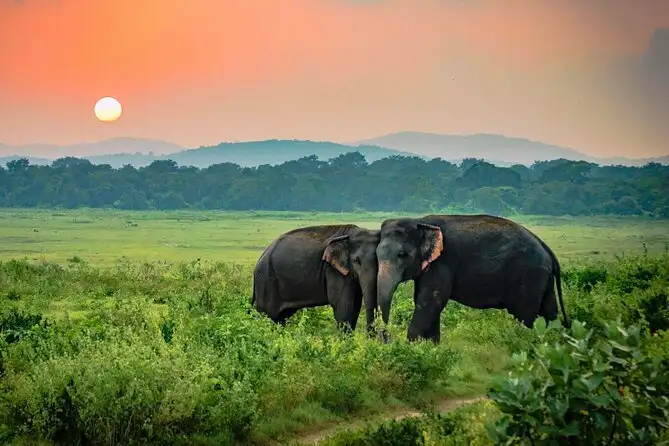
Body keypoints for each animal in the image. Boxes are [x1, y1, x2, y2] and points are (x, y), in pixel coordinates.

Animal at [250, 224, 380, 332]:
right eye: (357, 261)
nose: (371, 336)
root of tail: (262, 256)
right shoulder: (333, 270)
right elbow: (344, 307)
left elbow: (355, 306)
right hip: (266, 281)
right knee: (267, 315)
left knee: (281, 318)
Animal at [375, 214, 569, 343]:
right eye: (376, 255)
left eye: (402, 255)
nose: (387, 338)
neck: (420, 221)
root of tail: (546, 248)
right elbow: (426, 302)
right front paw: (431, 348)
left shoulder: (443, 262)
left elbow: (431, 301)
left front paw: (412, 347)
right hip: (542, 278)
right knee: (549, 312)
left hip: (529, 276)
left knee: (525, 315)